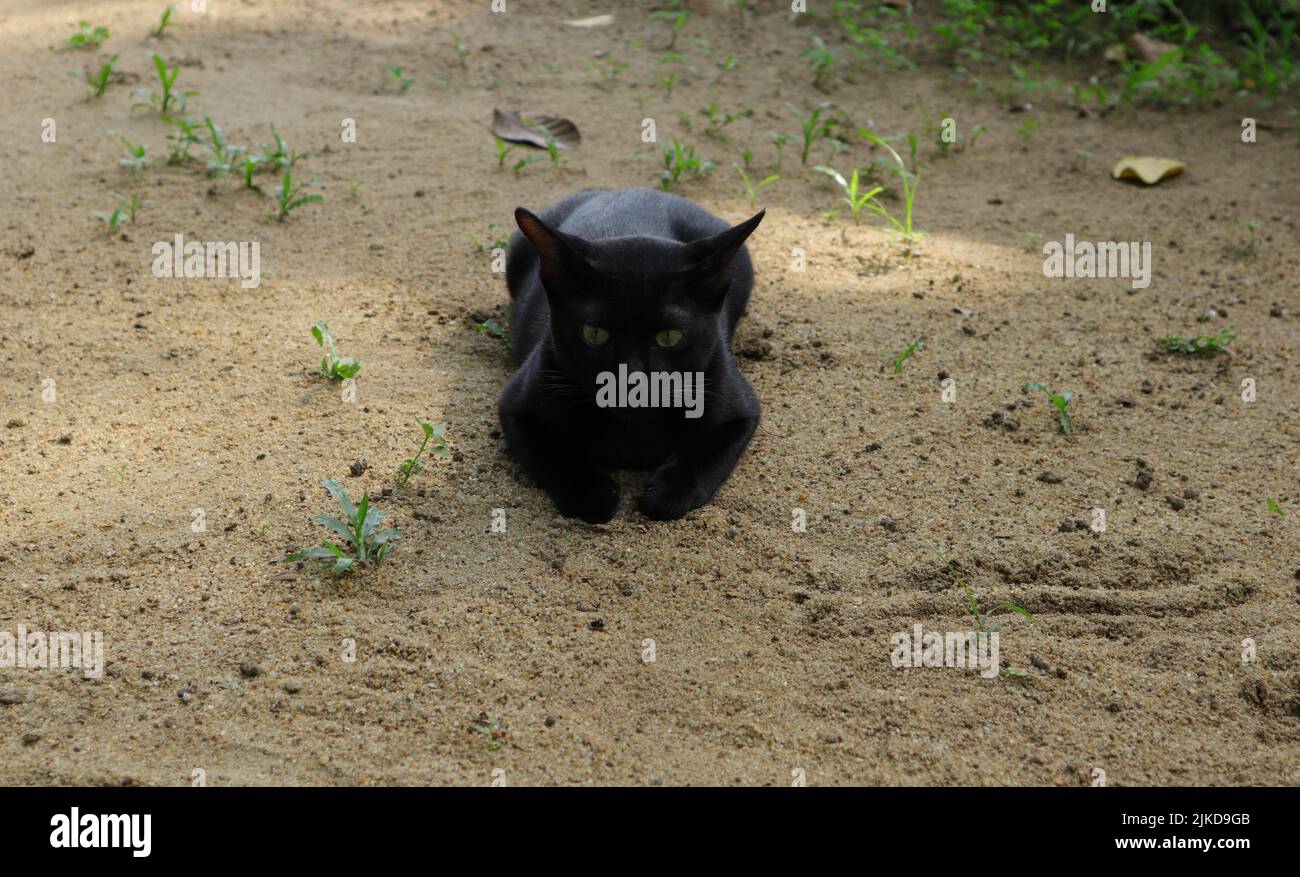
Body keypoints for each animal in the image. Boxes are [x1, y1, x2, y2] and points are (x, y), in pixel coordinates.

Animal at [493, 187, 759, 522]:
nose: (631, 381)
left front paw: (667, 492)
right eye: (594, 334)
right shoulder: (517, 406)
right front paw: (593, 493)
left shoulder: (741, 408)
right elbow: (554, 454)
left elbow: (707, 458)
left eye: (669, 337)